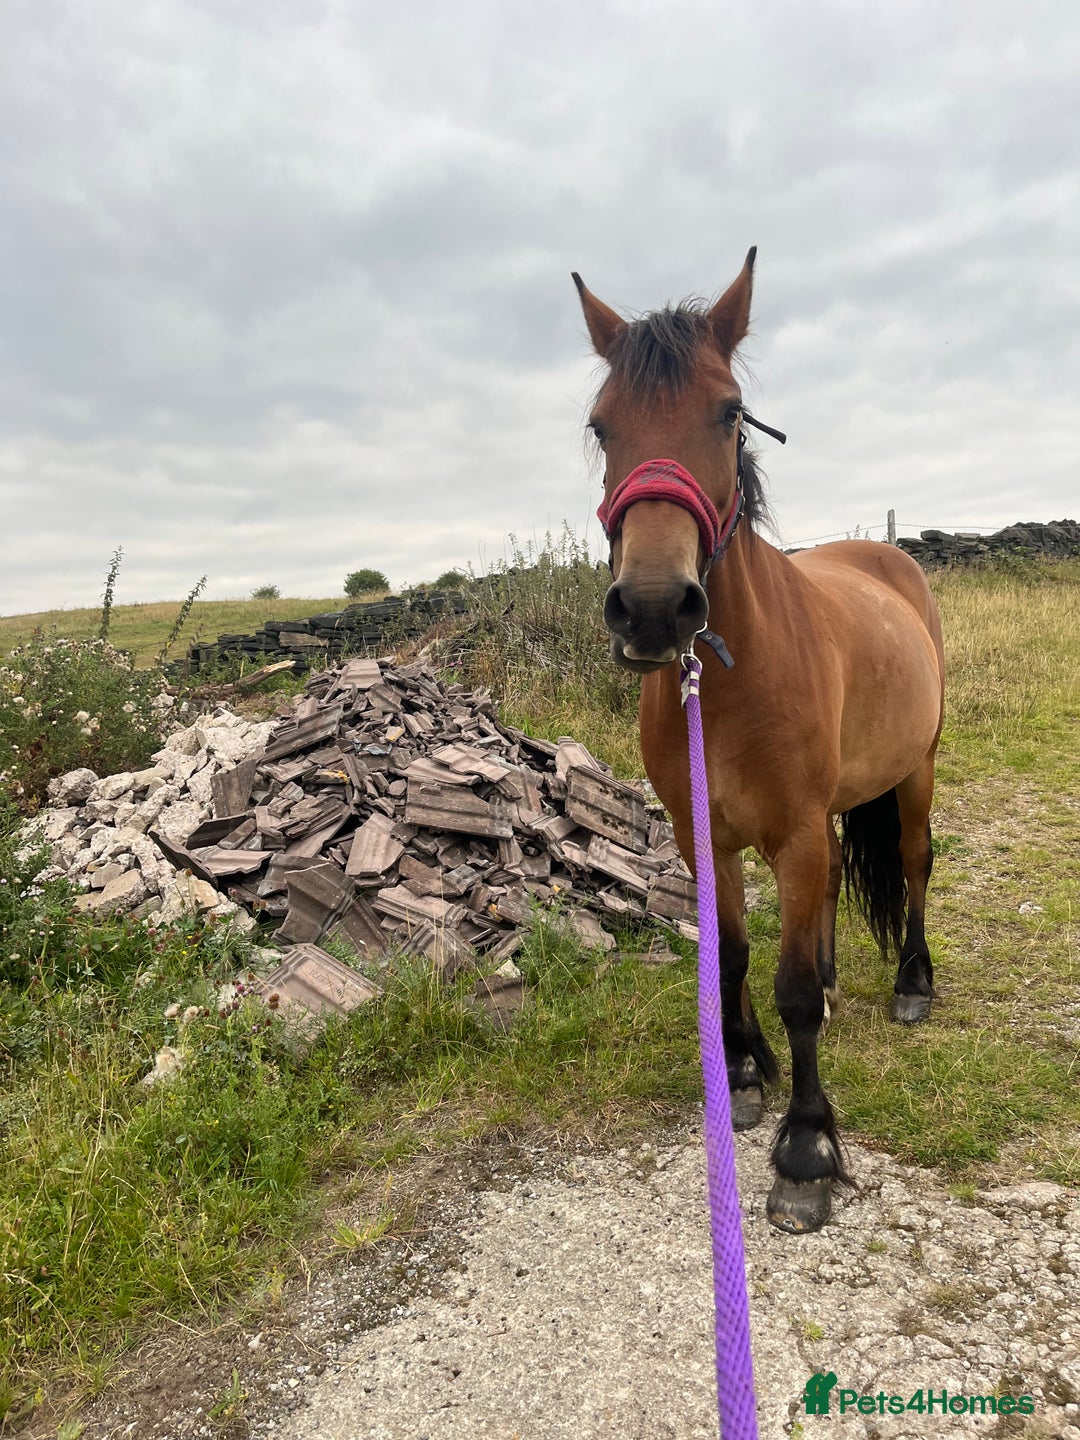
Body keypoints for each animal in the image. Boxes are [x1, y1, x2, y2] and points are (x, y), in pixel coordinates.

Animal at [573, 249, 945, 1233]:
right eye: (599, 424)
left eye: (729, 410)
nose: (654, 608)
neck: (728, 685)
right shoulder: (708, 835)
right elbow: (735, 956)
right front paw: (741, 1074)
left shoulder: (794, 832)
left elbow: (789, 992)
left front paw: (807, 1148)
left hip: (917, 772)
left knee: (916, 861)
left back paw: (913, 983)